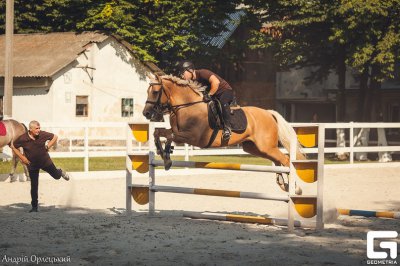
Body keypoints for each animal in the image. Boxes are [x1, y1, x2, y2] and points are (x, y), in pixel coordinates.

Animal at [142, 75, 304, 193]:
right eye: (147, 91)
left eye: (155, 92)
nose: (146, 113)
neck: (186, 106)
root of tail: (269, 113)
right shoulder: (177, 132)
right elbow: (159, 132)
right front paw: (165, 156)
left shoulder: (193, 137)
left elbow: (169, 136)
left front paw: (166, 156)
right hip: (255, 148)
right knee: (278, 161)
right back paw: (283, 184)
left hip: (266, 146)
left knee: (285, 159)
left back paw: (295, 188)